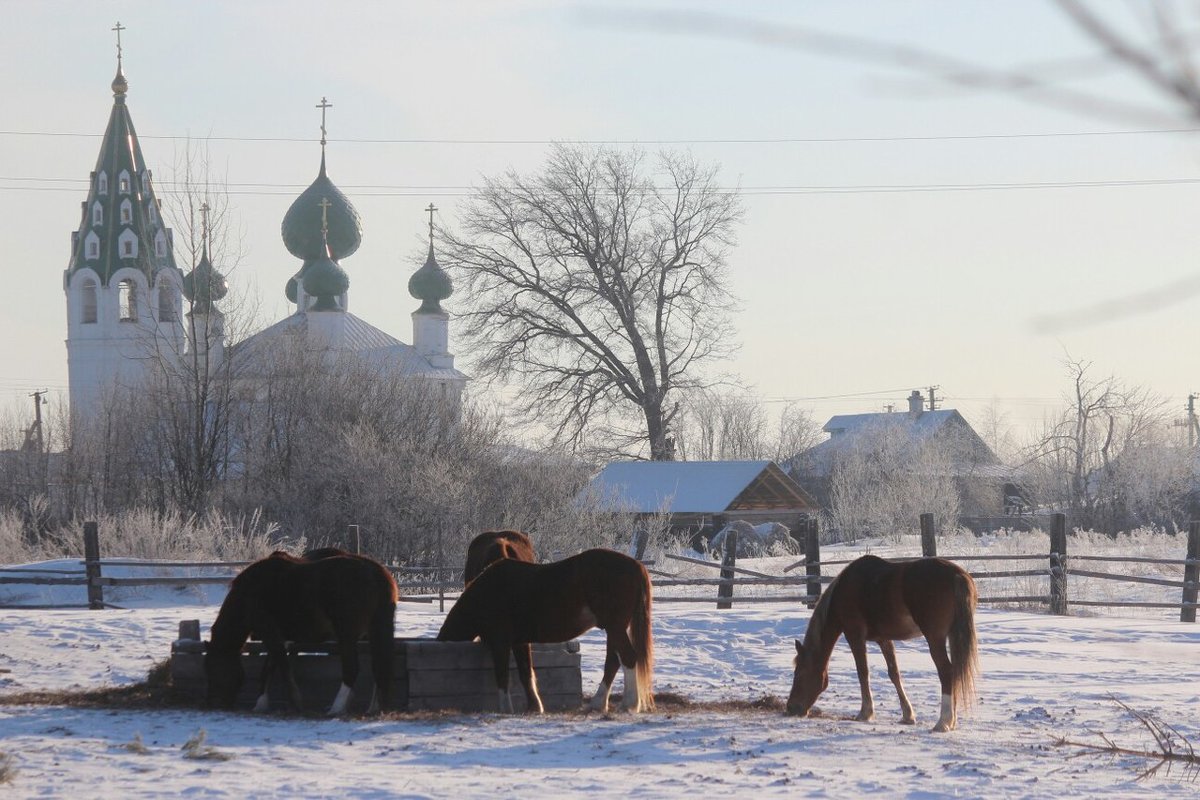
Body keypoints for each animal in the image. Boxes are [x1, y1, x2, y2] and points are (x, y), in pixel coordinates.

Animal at [204, 554, 396, 714]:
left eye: (213, 668)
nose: (216, 704)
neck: (248, 594)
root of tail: (375, 572)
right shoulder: (281, 637)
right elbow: (269, 668)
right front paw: (261, 704)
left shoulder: (270, 633)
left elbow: (283, 667)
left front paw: (294, 703)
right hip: (374, 631)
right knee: (378, 665)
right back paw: (373, 707)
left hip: (346, 636)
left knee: (352, 669)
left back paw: (337, 708)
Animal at [436, 551, 652, 714]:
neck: (487, 593)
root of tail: (636, 565)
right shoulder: (520, 642)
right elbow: (526, 673)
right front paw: (535, 707)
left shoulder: (501, 642)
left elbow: (502, 675)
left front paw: (505, 709)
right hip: (614, 628)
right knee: (613, 661)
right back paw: (599, 703)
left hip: (614, 627)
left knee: (627, 657)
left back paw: (629, 704)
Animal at [787, 556, 974, 734]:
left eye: (799, 673)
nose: (790, 708)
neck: (844, 590)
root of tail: (956, 574)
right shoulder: (884, 639)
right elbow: (894, 674)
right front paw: (908, 715)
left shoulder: (855, 636)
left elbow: (863, 672)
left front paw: (865, 712)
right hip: (952, 635)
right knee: (955, 671)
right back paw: (952, 722)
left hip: (935, 638)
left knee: (946, 671)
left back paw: (943, 722)